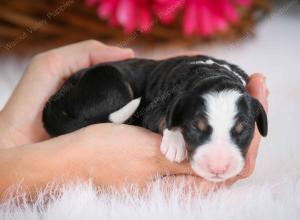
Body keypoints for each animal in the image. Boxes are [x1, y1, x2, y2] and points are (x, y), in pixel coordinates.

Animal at [42, 55, 268, 182]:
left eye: (243, 129)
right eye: (195, 127)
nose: (218, 168)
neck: (208, 72)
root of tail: (63, 91)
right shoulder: (153, 109)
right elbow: (164, 118)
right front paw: (175, 145)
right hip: (113, 83)